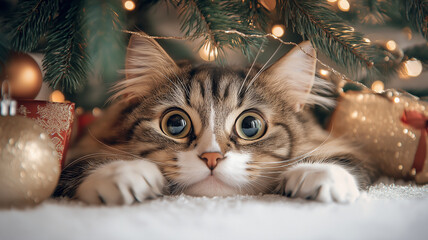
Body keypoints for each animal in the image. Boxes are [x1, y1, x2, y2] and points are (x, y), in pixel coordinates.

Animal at [53, 31, 378, 204]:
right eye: (175, 124)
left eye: (250, 126)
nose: (212, 158)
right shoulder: (74, 152)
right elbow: (77, 168)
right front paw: (123, 174)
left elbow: (344, 161)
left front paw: (318, 174)